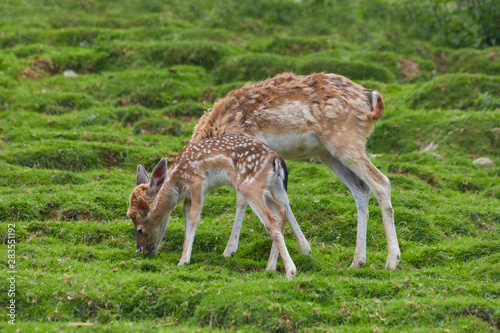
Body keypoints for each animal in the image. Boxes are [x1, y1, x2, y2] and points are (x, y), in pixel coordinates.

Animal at [127, 134, 310, 278]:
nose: (140, 250)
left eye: (139, 229)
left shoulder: (197, 182)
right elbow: (187, 217)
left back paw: (290, 271)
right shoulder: (188, 197)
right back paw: (270, 267)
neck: (177, 183)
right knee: (281, 209)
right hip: (271, 186)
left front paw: (183, 260)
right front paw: (185, 254)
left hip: (249, 184)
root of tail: (277, 160)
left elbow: (195, 217)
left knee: (270, 219)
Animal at [189, 72, 400, 268]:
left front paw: (229, 250)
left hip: (346, 143)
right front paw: (305, 248)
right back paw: (357, 261)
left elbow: (242, 200)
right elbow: (282, 199)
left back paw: (392, 261)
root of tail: (371, 97)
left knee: (381, 182)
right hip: (328, 153)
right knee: (360, 188)